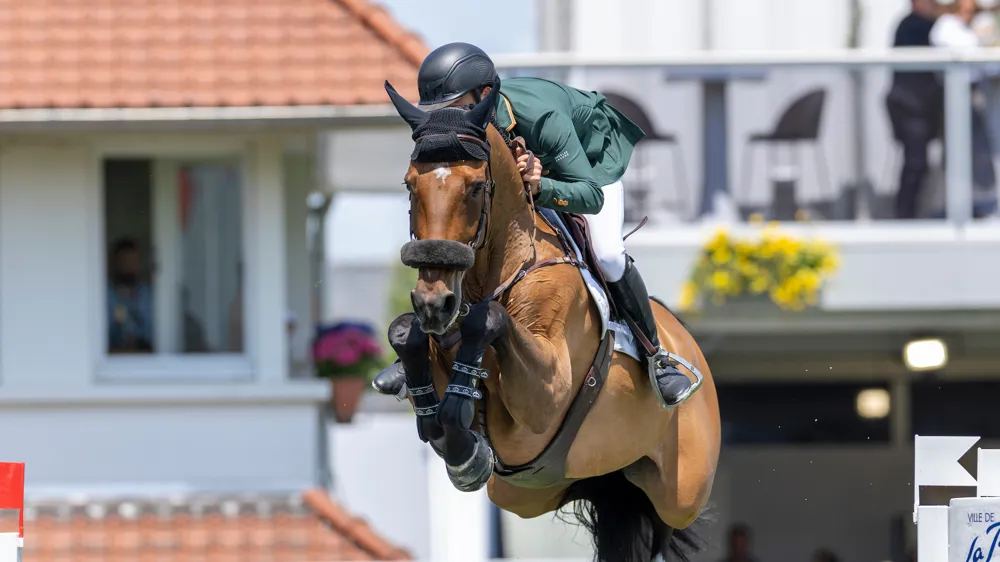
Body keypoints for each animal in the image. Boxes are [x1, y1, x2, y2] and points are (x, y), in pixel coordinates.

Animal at [382, 80, 721, 562]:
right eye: (410, 185)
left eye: (475, 188)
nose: (435, 304)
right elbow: (404, 335)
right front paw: (459, 443)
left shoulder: (549, 387)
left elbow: (489, 319)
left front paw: (464, 440)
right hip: (527, 492)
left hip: (683, 492)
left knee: (667, 518)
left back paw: (667, 374)